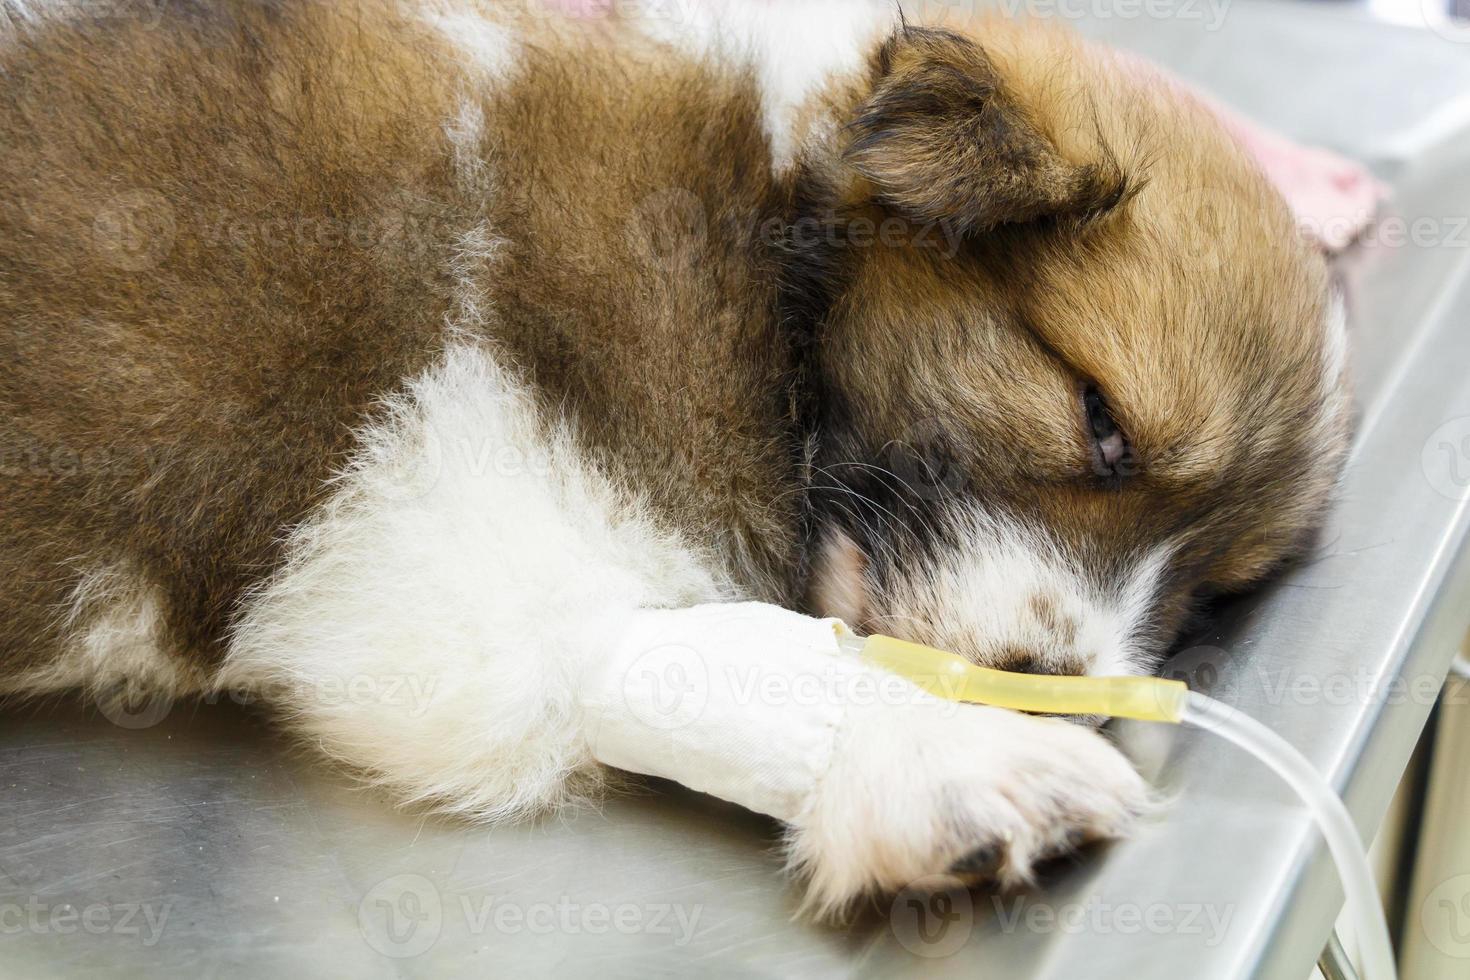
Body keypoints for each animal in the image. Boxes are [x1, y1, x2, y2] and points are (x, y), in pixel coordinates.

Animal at [0, 0, 1346, 922]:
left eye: (1213, 587)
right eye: (1099, 418)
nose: (1044, 681)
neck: (764, 258)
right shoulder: (424, 551)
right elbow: (713, 645)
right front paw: (933, 751)